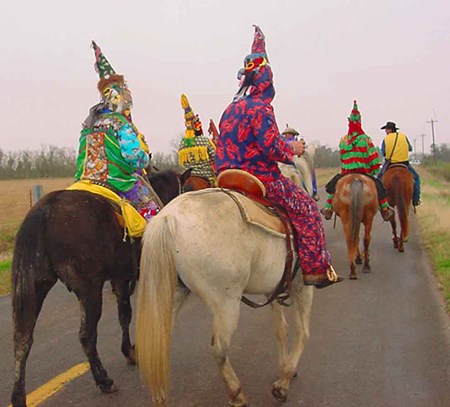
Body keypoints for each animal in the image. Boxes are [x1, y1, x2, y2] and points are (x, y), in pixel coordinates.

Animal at [10, 169, 190, 407]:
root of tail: (47, 209)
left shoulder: (120, 277)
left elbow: (124, 314)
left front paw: (129, 351)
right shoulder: (126, 276)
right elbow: (129, 313)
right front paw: (133, 351)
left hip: (36, 285)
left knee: (23, 339)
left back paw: (18, 396)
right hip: (89, 289)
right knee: (86, 335)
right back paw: (103, 380)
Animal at [135, 189, 314, 407]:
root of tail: (167, 217)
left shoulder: (272, 290)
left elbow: (281, 329)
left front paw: (284, 369)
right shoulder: (304, 287)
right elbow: (303, 332)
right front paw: (284, 382)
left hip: (171, 297)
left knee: (156, 348)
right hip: (226, 303)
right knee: (219, 348)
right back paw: (237, 394)